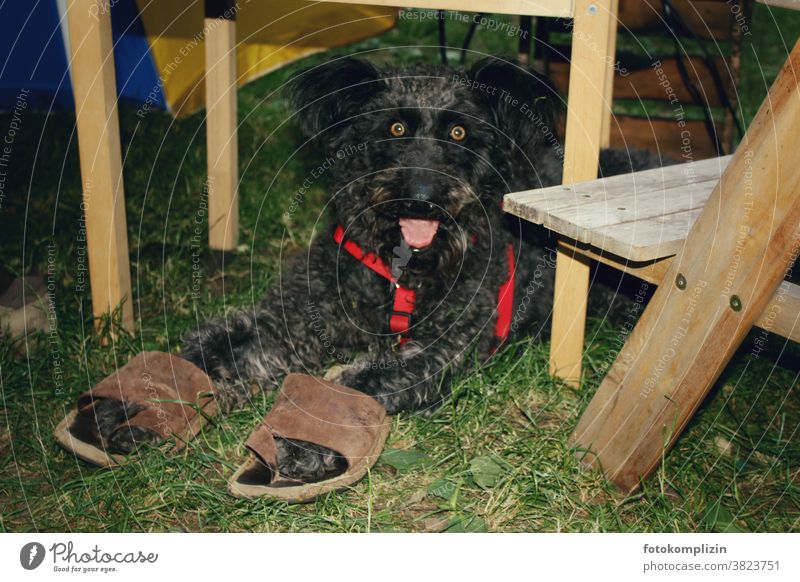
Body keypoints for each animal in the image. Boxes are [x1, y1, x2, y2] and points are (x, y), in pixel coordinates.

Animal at [90, 56, 660, 484]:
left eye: (459, 131)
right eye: (396, 126)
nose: (424, 197)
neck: (399, 269)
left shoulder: (437, 349)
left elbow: (360, 383)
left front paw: (300, 443)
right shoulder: (291, 315)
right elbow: (215, 350)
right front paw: (131, 407)